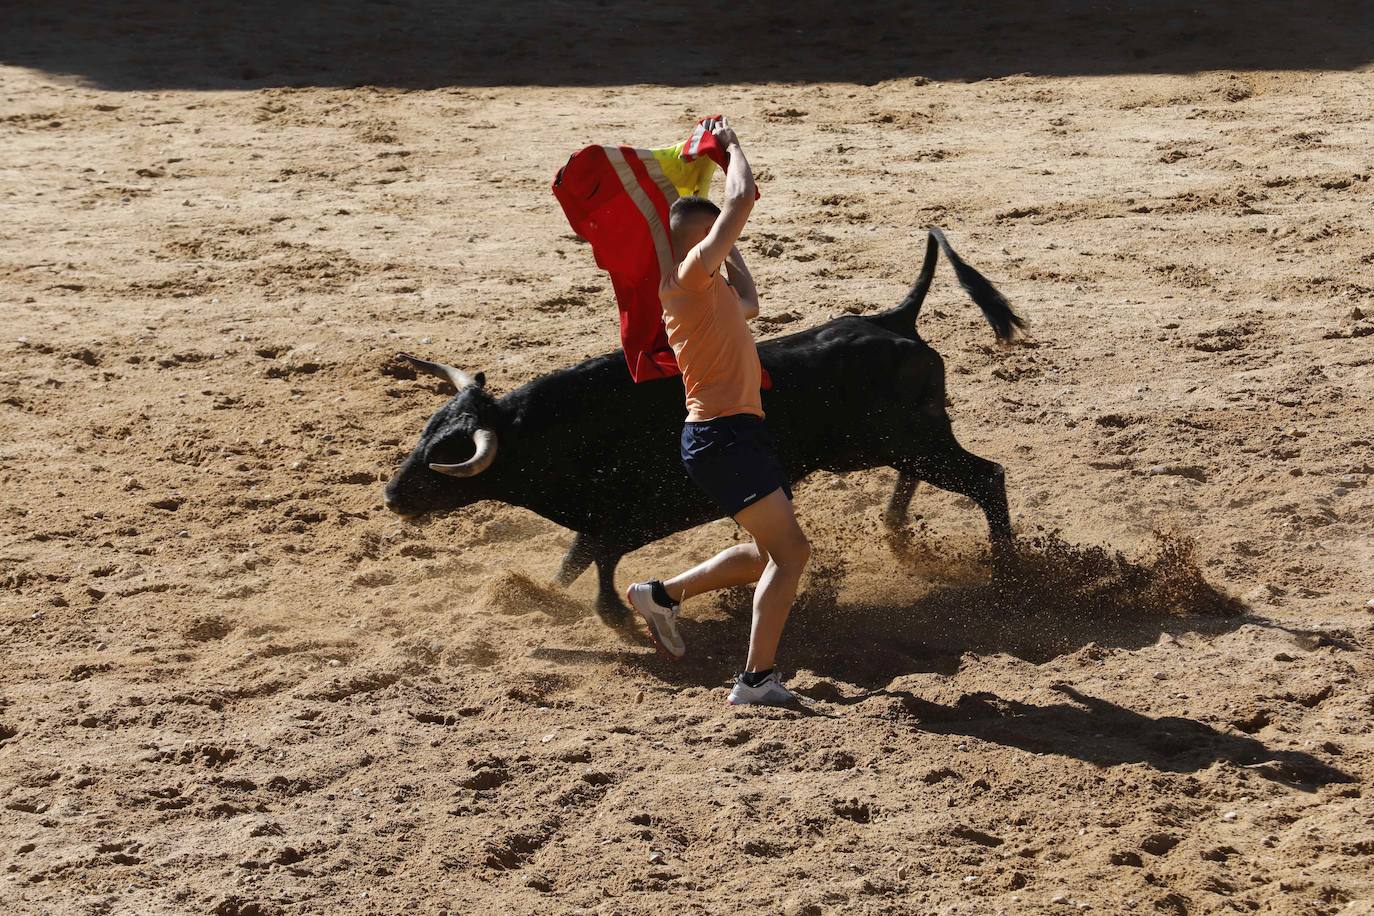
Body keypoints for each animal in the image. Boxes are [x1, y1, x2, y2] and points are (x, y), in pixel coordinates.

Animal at [381, 230, 1027, 623]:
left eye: (449, 454)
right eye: (425, 436)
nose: (391, 495)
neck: (561, 431)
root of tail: (896, 319)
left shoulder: (636, 514)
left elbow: (599, 559)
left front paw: (617, 618)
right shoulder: (599, 521)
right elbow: (572, 564)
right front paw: (537, 598)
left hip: (915, 443)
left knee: (987, 478)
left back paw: (1008, 580)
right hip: (893, 446)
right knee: (923, 477)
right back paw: (895, 529)